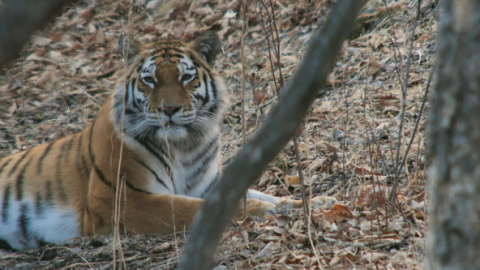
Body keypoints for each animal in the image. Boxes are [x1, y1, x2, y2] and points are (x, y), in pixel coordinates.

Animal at [0, 31, 336, 251]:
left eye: (185, 77)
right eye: (149, 80)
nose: (170, 109)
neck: (184, 146)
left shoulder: (211, 183)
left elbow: (267, 196)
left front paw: (317, 202)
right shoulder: (124, 201)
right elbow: (197, 209)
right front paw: (270, 212)